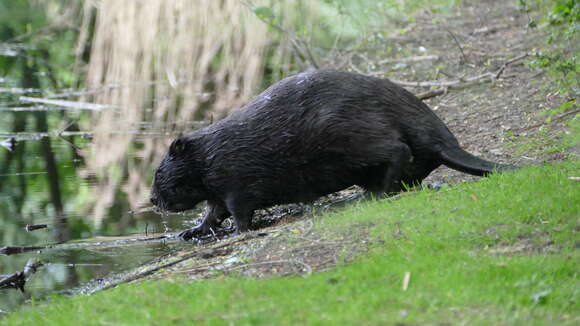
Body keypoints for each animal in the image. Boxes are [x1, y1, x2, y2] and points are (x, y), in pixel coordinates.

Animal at [151, 70, 516, 241]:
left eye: (157, 173)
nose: (153, 200)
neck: (211, 151)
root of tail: (443, 140)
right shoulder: (216, 187)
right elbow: (213, 211)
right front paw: (189, 232)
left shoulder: (235, 176)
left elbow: (238, 209)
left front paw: (236, 232)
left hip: (349, 138)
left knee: (397, 150)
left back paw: (376, 193)